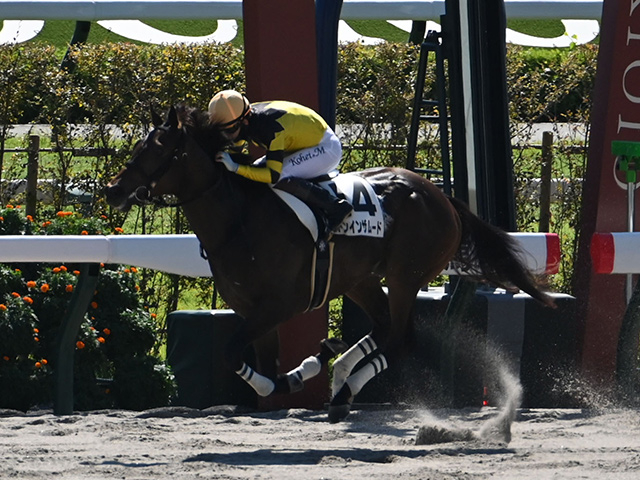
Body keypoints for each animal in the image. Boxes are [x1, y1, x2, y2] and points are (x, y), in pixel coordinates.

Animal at [106, 104, 556, 420]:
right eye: (139, 146)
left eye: (158, 149)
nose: (114, 190)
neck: (239, 220)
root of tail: (442, 196)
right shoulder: (252, 310)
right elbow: (262, 367)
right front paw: (306, 367)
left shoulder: (279, 305)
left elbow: (238, 359)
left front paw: (300, 373)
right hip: (361, 279)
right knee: (383, 328)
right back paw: (339, 372)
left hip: (406, 275)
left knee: (401, 338)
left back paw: (344, 388)